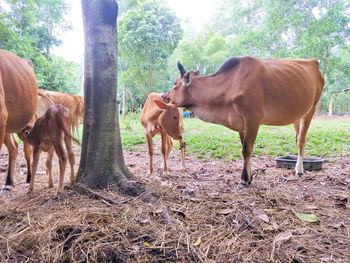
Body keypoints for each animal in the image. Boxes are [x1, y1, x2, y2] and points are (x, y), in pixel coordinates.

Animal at [163, 57, 324, 187]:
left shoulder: (253, 119)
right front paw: (250, 176)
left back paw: (299, 170)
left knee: (301, 140)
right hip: (297, 115)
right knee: (298, 138)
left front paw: (245, 179)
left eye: (175, 83)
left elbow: (247, 149)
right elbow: (246, 148)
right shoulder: (241, 124)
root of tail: (313, 62)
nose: (164, 96)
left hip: (311, 109)